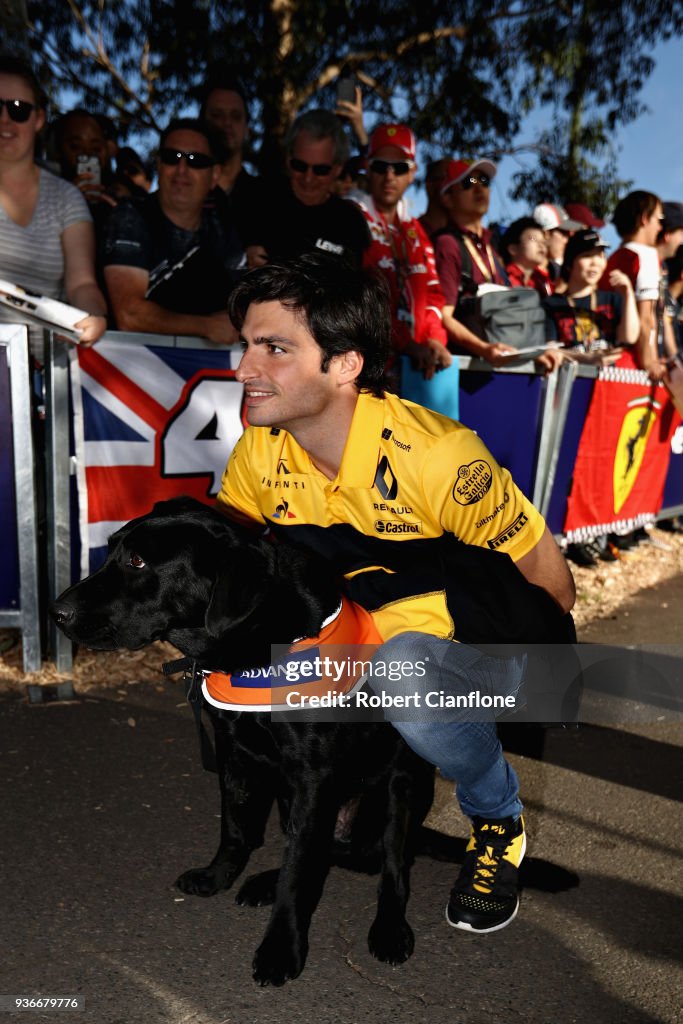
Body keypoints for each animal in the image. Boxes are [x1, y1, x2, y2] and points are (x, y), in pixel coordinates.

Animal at [50, 495, 436, 983]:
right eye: (113, 547)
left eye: (137, 561)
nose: (55, 612)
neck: (255, 641)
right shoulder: (234, 753)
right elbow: (236, 830)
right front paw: (218, 877)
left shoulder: (313, 779)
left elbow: (299, 875)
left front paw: (280, 949)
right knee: (324, 850)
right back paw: (265, 881)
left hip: (398, 788)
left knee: (390, 867)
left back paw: (389, 929)